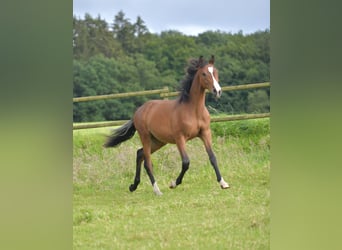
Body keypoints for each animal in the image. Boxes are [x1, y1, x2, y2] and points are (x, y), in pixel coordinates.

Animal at [103, 55, 230, 195]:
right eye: (203, 74)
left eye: (216, 72)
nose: (217, 91)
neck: (193, 110)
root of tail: (139, 110)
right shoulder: (180, 138)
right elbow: (186, 162)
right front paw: (173, 183)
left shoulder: (205, 133)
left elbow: (212, 157)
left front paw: (223, 183)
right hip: (145, 137)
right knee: (147, 162)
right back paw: (157, 190)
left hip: (158, 141)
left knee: (140, 154)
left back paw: (133, 186)